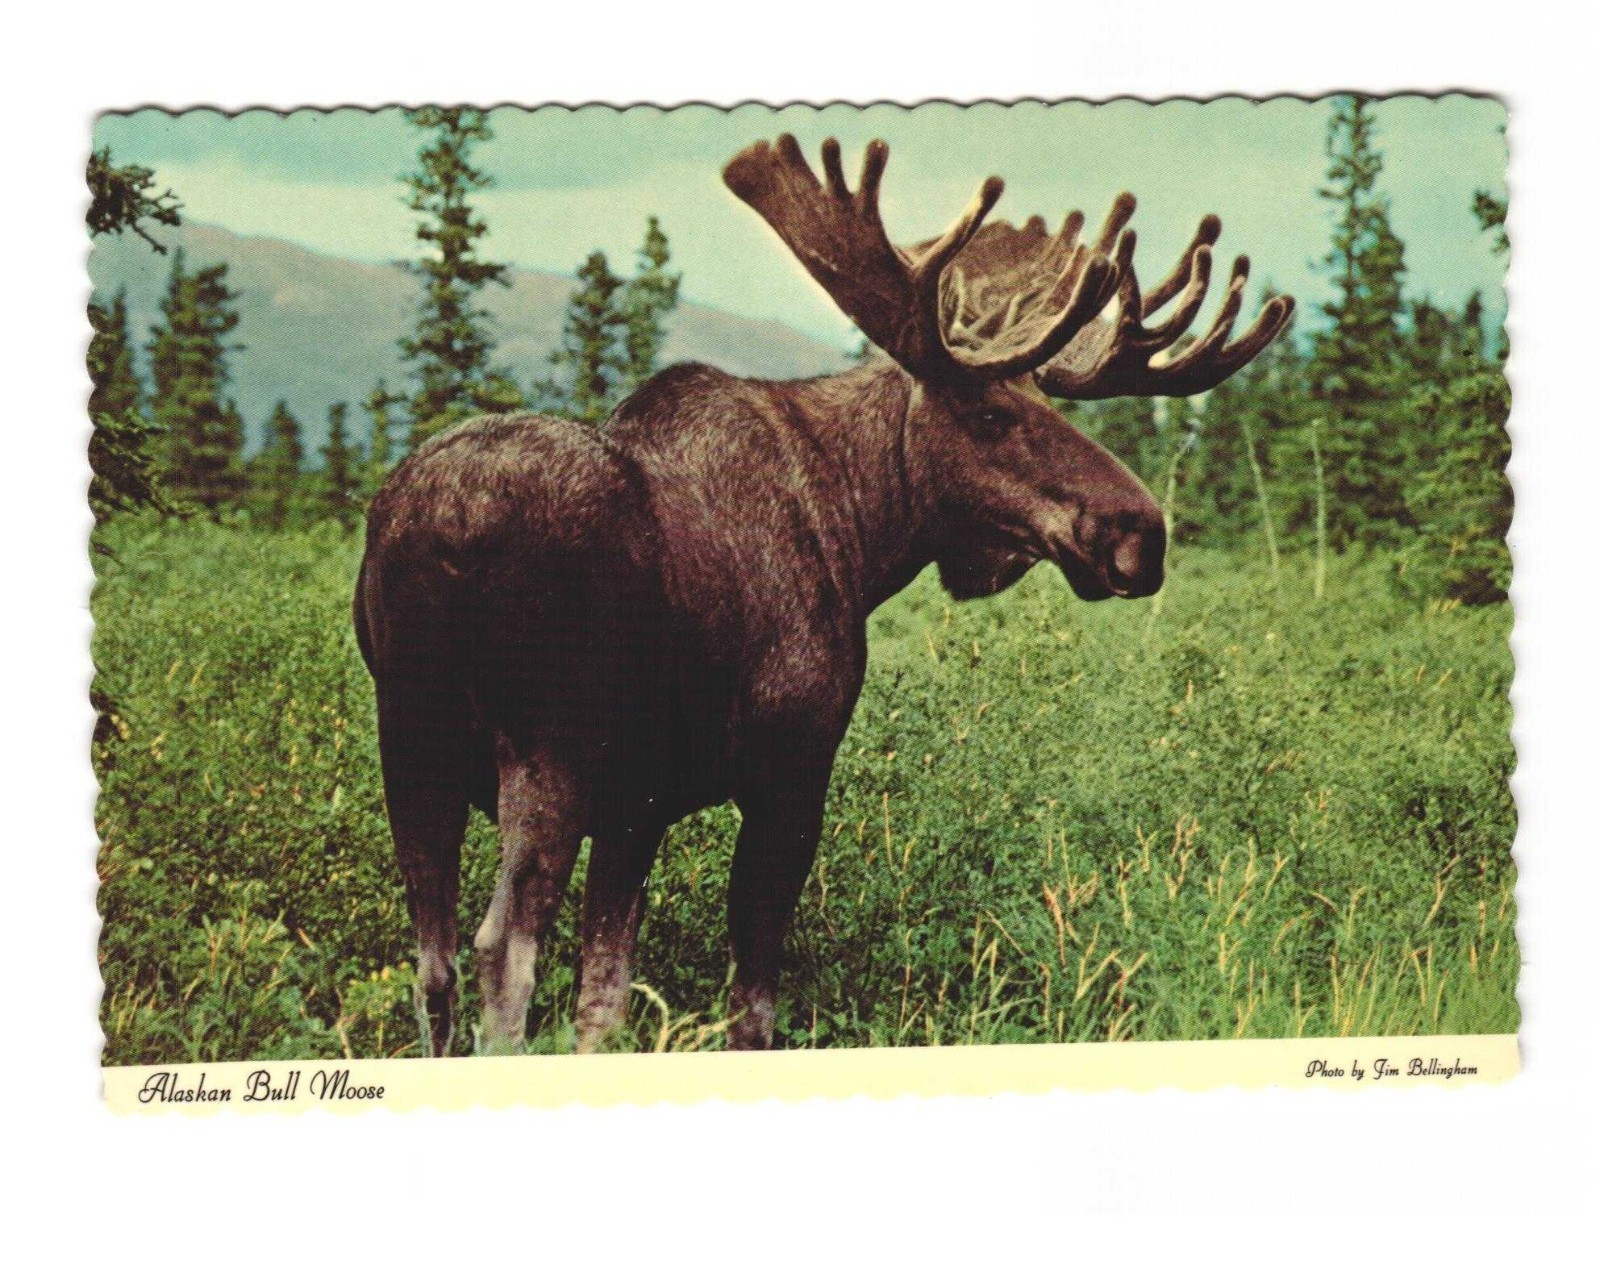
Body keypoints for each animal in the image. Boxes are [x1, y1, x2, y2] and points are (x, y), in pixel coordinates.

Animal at [354, 134, 1294, 1056]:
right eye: (992, 415)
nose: (1140, 532)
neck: (861, 534)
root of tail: (443, 527)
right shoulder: (791, 758)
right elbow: (752, 1003)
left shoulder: (637, 804)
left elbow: (603, 999)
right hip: (547, 749)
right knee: (501, 950)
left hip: (412, 744)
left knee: (433, 960)